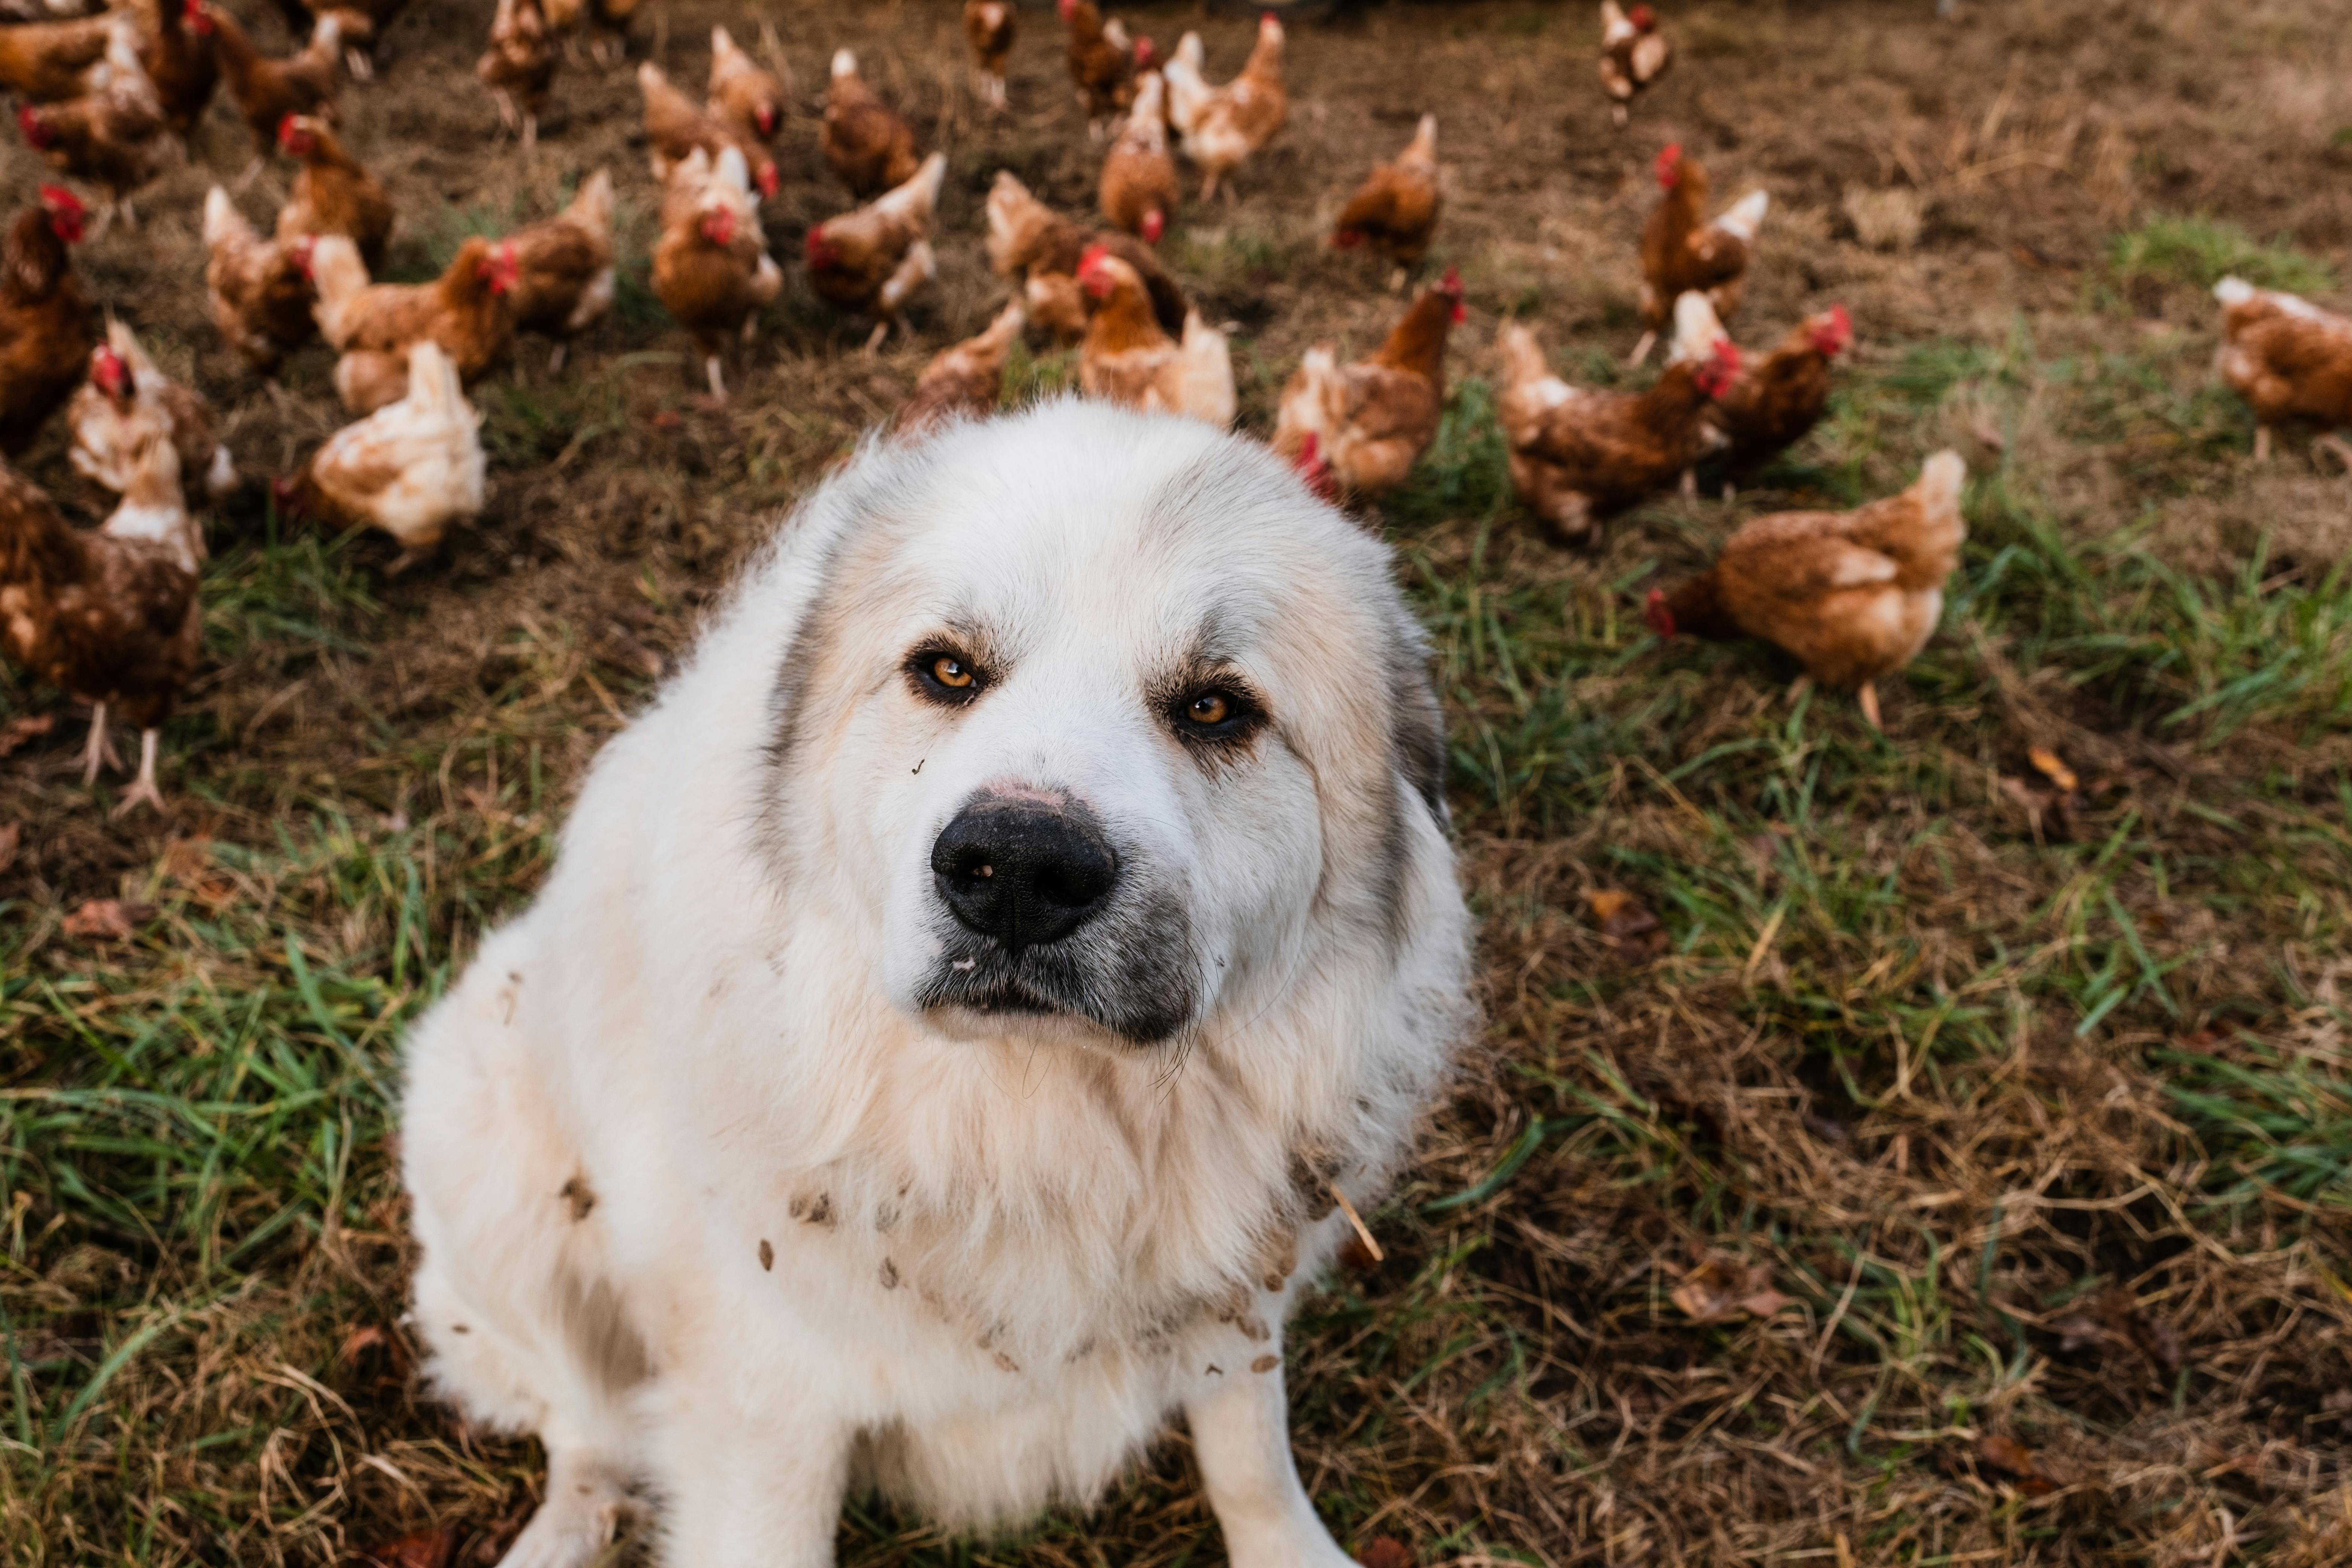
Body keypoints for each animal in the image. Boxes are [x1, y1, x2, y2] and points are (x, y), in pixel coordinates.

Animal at [404, 400, 1467, 1561]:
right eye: (948, 672)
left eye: (1215, 709)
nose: (1019, 871)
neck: (1032, 1130)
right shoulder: (767, 1418)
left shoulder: (1236, 1301)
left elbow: (1250, 1458)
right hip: (488, 1155)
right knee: (581, 1421)